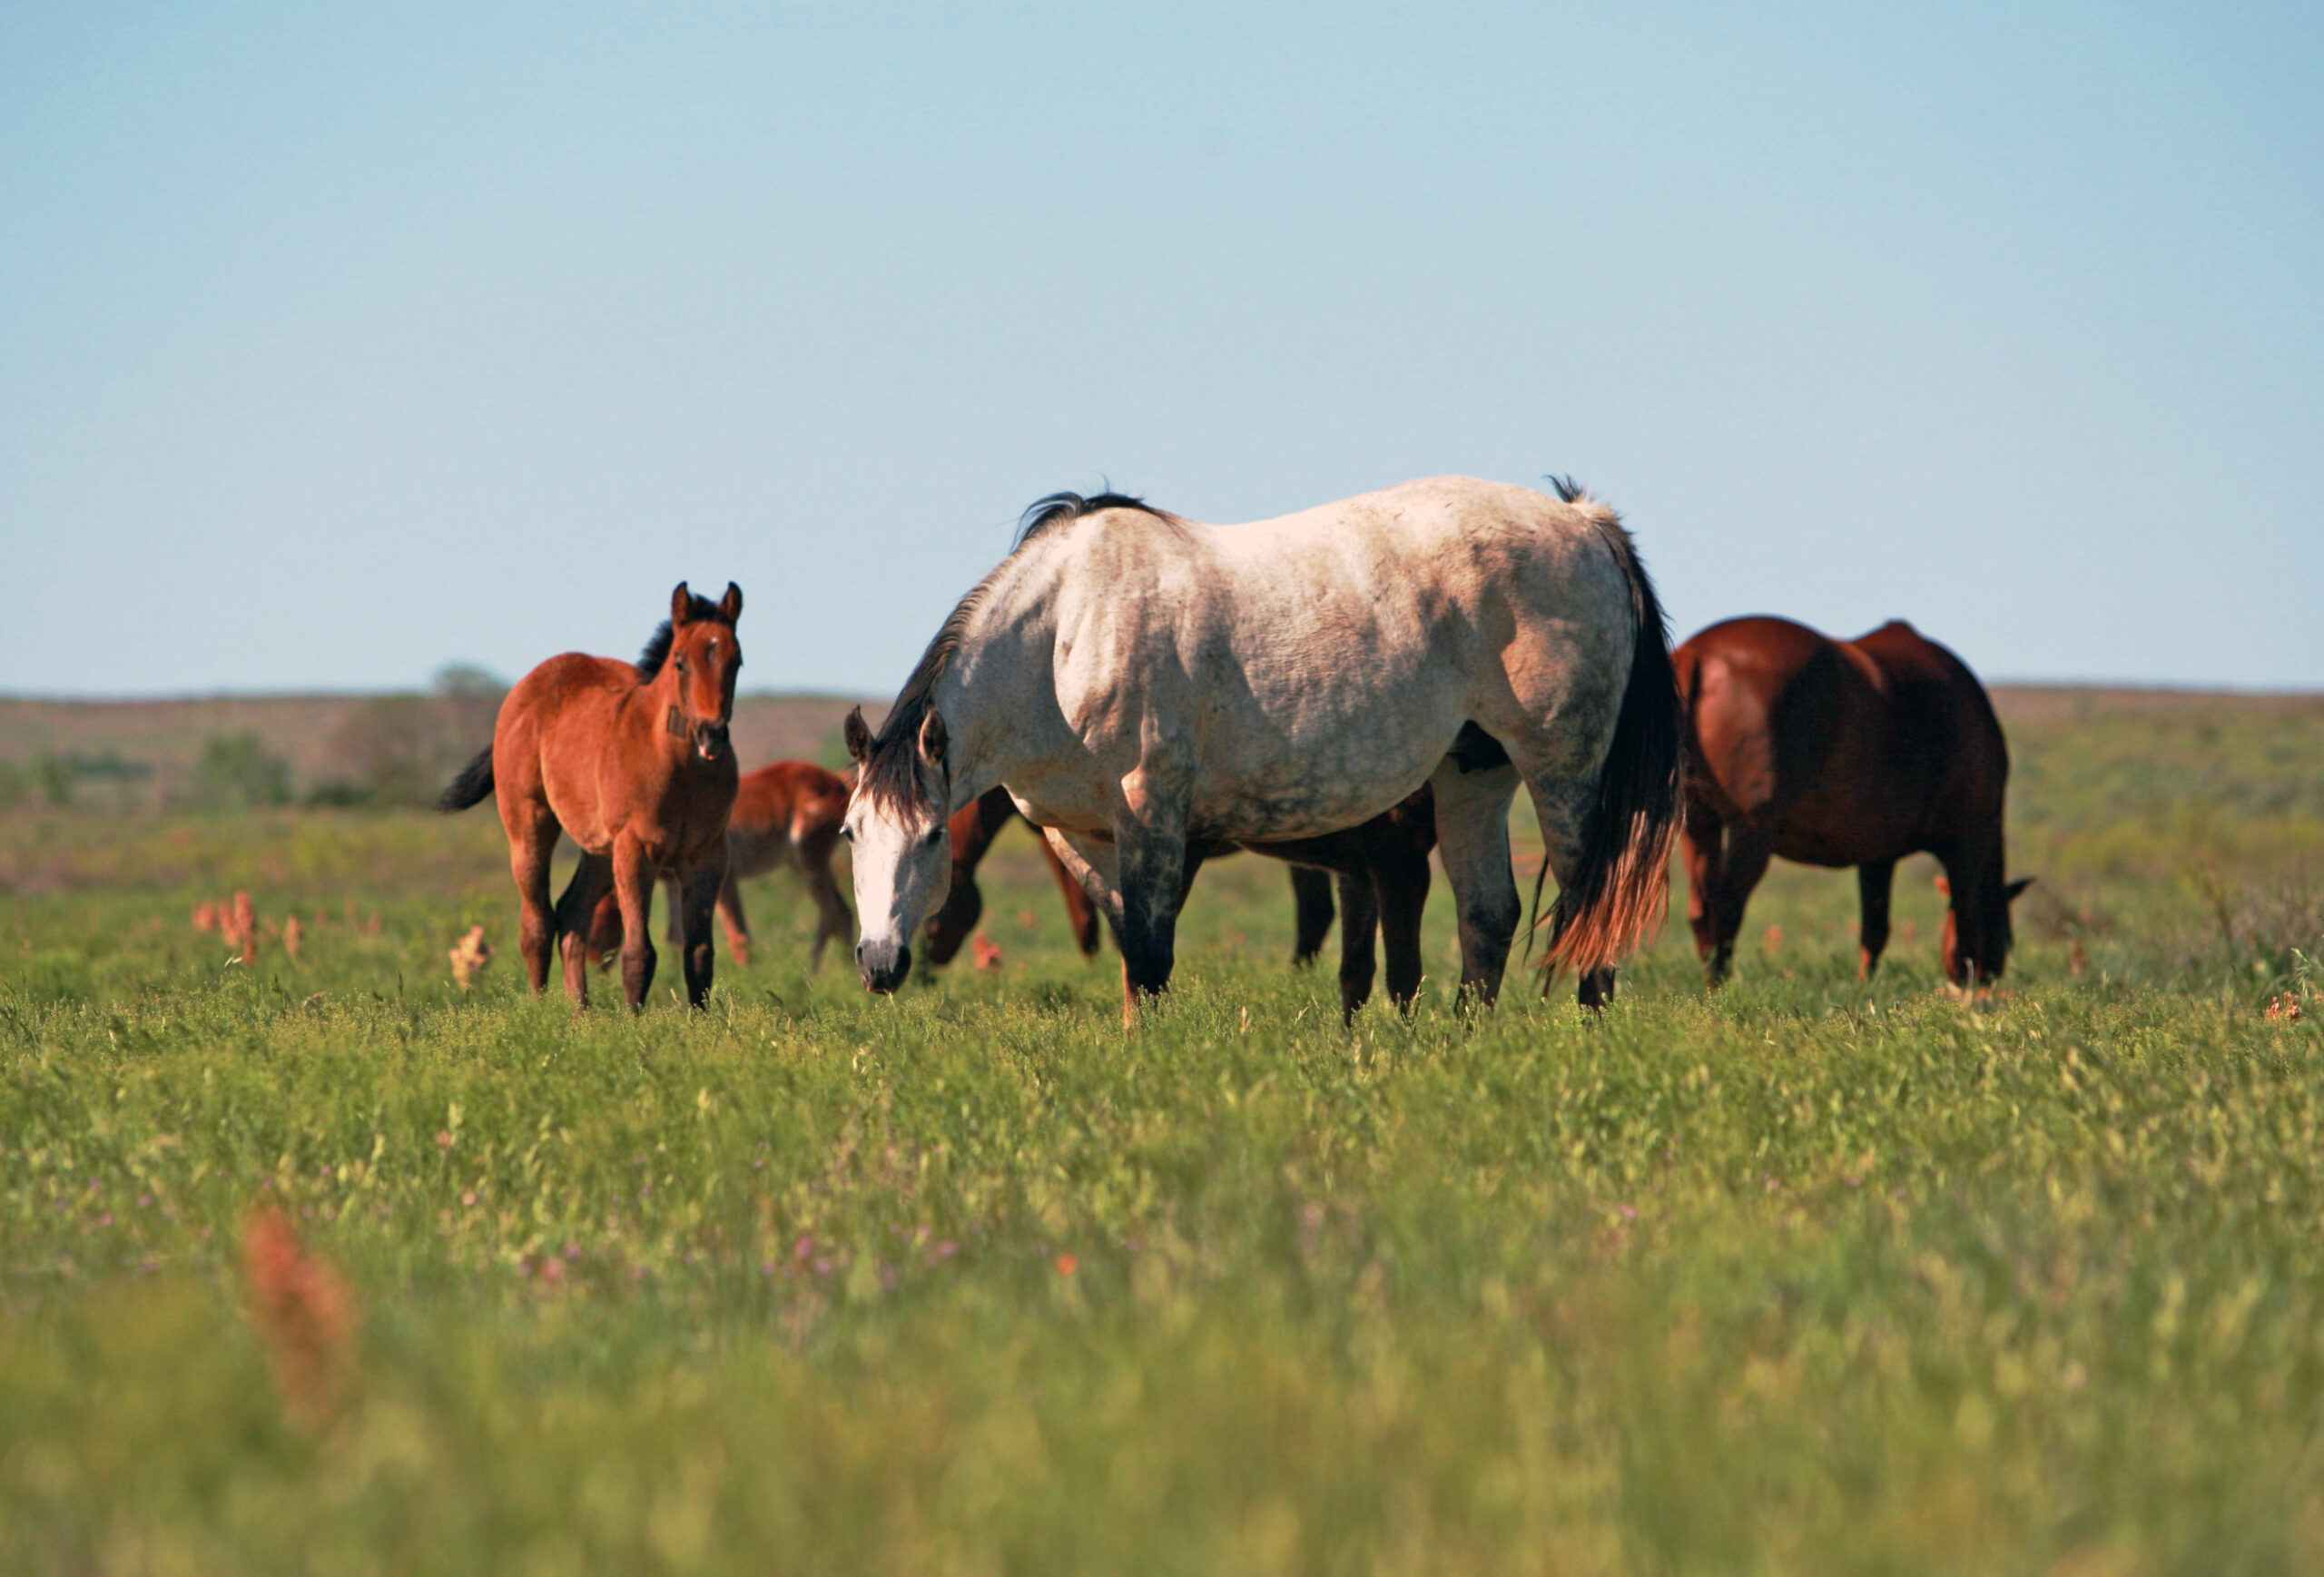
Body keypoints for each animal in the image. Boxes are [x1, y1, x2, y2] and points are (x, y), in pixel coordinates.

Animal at [438, 583, 739, 1012]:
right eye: (680, 662)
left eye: (736, 661)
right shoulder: (636, 849)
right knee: (537, 925)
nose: (711, 734)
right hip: (531, 827)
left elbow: (699, 955)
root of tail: (527, 685)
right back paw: (541, 1011)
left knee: (571, 914)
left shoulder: (708, 855)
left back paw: (580, 1013)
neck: (679, 768)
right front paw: (634, 1023)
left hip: (599, 849)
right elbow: (638, 953)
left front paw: (700, 1024)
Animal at [586, 766, 860, 975]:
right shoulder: (674, 886)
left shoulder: (726, 881)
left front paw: (748, 980)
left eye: (597, 930)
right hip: (803, 867)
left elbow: (739, 936)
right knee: (836, 912)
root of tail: (839, 781)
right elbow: (675, 937)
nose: (594, 965)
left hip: (811, 862)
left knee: (838, 911)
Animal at [1673, 617, 2035, 984]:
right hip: (1751, 831)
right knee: (1726, 907)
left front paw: (1865, 986)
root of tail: (1697, 654)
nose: (1989, 979)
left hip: (1698, 826)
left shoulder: (1877, 855)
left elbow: (1874, 930)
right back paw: (1721, 985)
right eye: (2007, 937)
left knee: (1701, 909)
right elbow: (1963, 922)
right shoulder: (1967, 841)